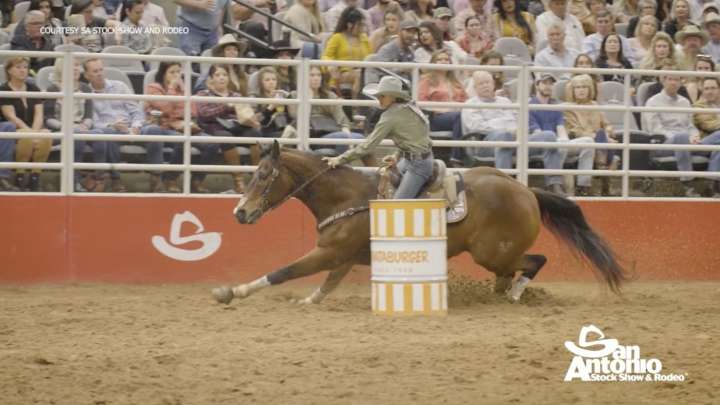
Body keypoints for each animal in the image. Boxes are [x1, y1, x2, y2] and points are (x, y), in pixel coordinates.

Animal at [212, 141, 627, 305]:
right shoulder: (340, 257)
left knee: (535, 262)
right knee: (516, 270)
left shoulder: (328, 253)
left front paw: (231, 292)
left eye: (263, 175)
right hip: (496, 256)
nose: (240, 213)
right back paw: (501, 293)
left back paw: (512, 295)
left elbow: (283, 271)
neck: (347, 197)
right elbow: (324, 288)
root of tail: (526, 191)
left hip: (494, 253)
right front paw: (307, 301)